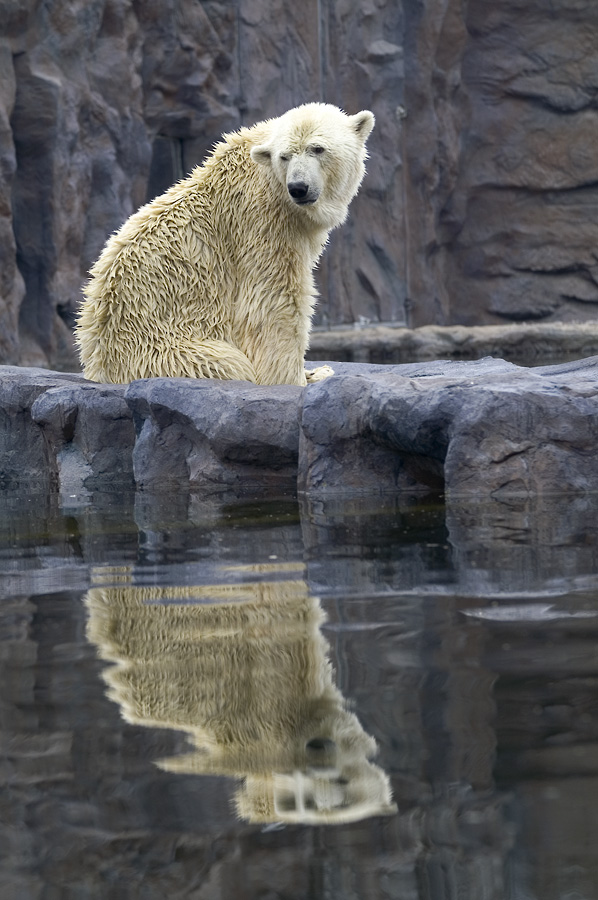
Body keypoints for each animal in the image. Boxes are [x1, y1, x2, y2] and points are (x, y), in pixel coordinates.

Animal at [75, 103, 376, 384]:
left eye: (318, 149)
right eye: (285, 156)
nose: (298, 188)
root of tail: (97, 364)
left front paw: (314, 371)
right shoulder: (261, 221)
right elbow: (273, 300)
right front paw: (294, 380)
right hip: (161, 351)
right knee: (228, 362)